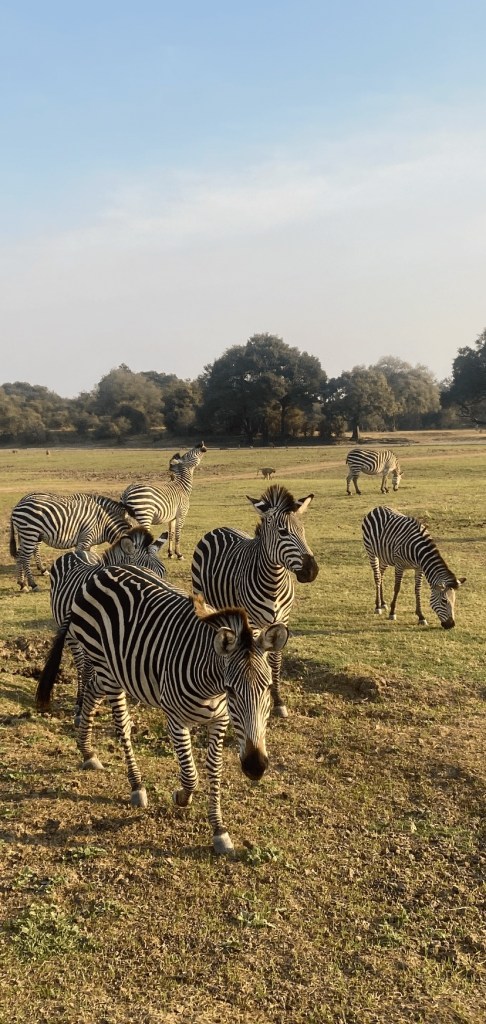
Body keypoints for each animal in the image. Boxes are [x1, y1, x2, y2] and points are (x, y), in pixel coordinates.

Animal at [36, 566, 289, 854]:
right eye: (231, 690)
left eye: (267, 687)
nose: (255, 767)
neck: (212, 684)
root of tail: (100, 572)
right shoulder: (175, 720)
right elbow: (190, 775)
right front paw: (180, 796)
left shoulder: (220, 720)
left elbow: (214, 771)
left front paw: (219, 830)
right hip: (108, 671)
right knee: (122, 727)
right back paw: (136, 785)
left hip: (112, 672)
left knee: (91, 691)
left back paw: (87, 752)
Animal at [49, 526, 168, 721]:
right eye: (142, 571)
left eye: (163, 572)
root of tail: (76, 552)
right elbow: (88, 670)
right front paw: (83, 706)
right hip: (70, 634)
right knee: (80, 663)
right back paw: (79, 699)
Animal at [191, 484, 319, 718]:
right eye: (283, 532)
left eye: (303, 531)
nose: (311, 571)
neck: (274, 581)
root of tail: (219, 528)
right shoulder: (253, 621)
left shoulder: (282, 620)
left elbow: (275, 660)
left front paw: (278, 700)